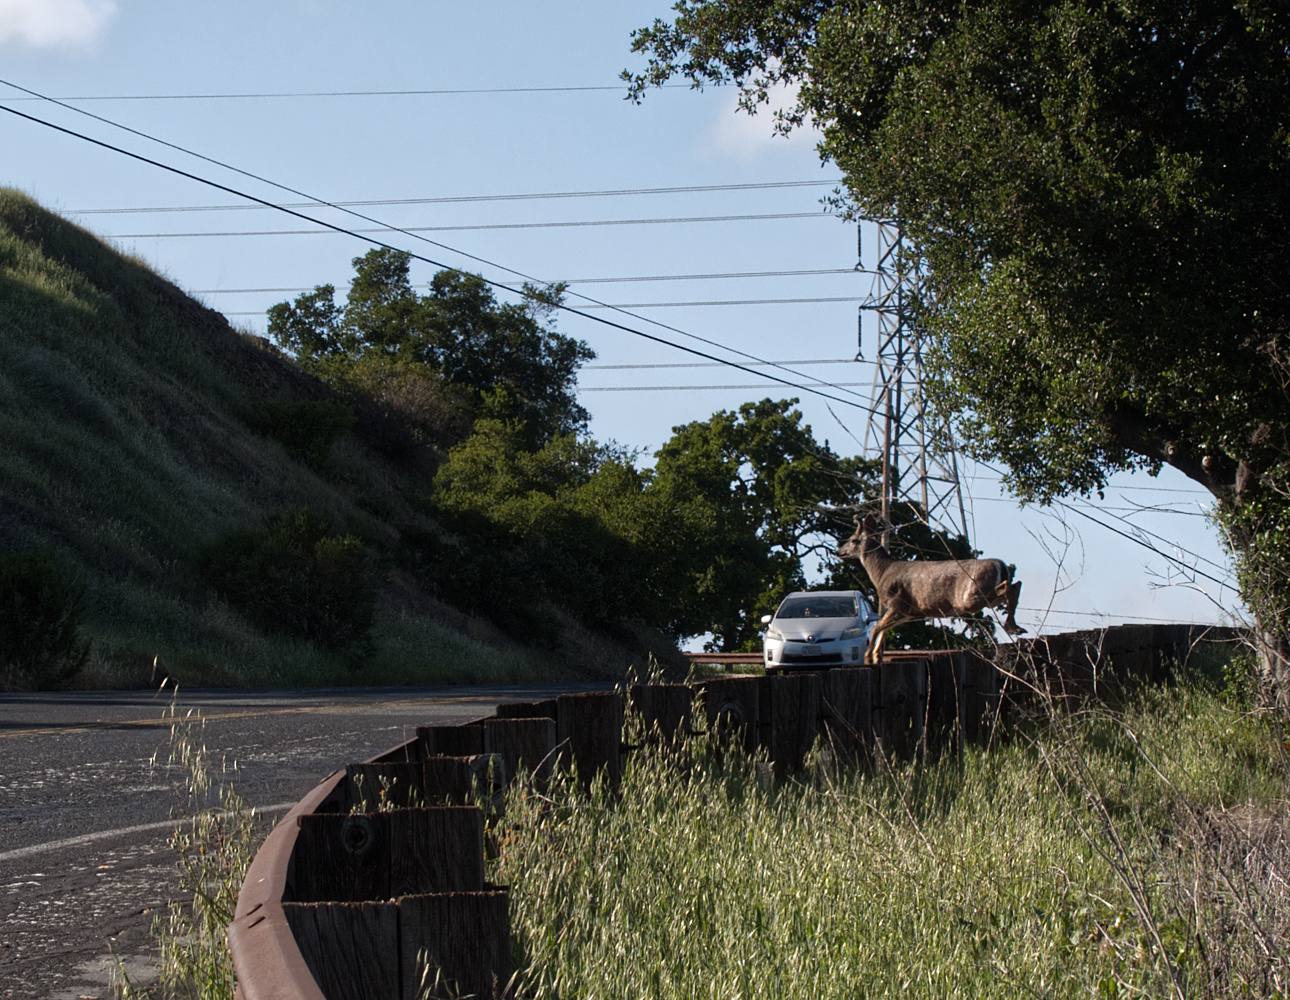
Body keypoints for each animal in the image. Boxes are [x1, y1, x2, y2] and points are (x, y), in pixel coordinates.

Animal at [835, 516, 1026, 665]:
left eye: (852, 539)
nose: (838, 551)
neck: (882, 571)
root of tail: (1000, 564)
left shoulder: (897, 604)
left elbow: (877, 628)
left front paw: (869, 658)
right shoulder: (907, 613)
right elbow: (883, 629)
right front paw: (876, 657)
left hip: (969, 596)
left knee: (1007, 587)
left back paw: (1012, 626)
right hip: (982, 597)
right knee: (1016, 584)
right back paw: (1016, 627)